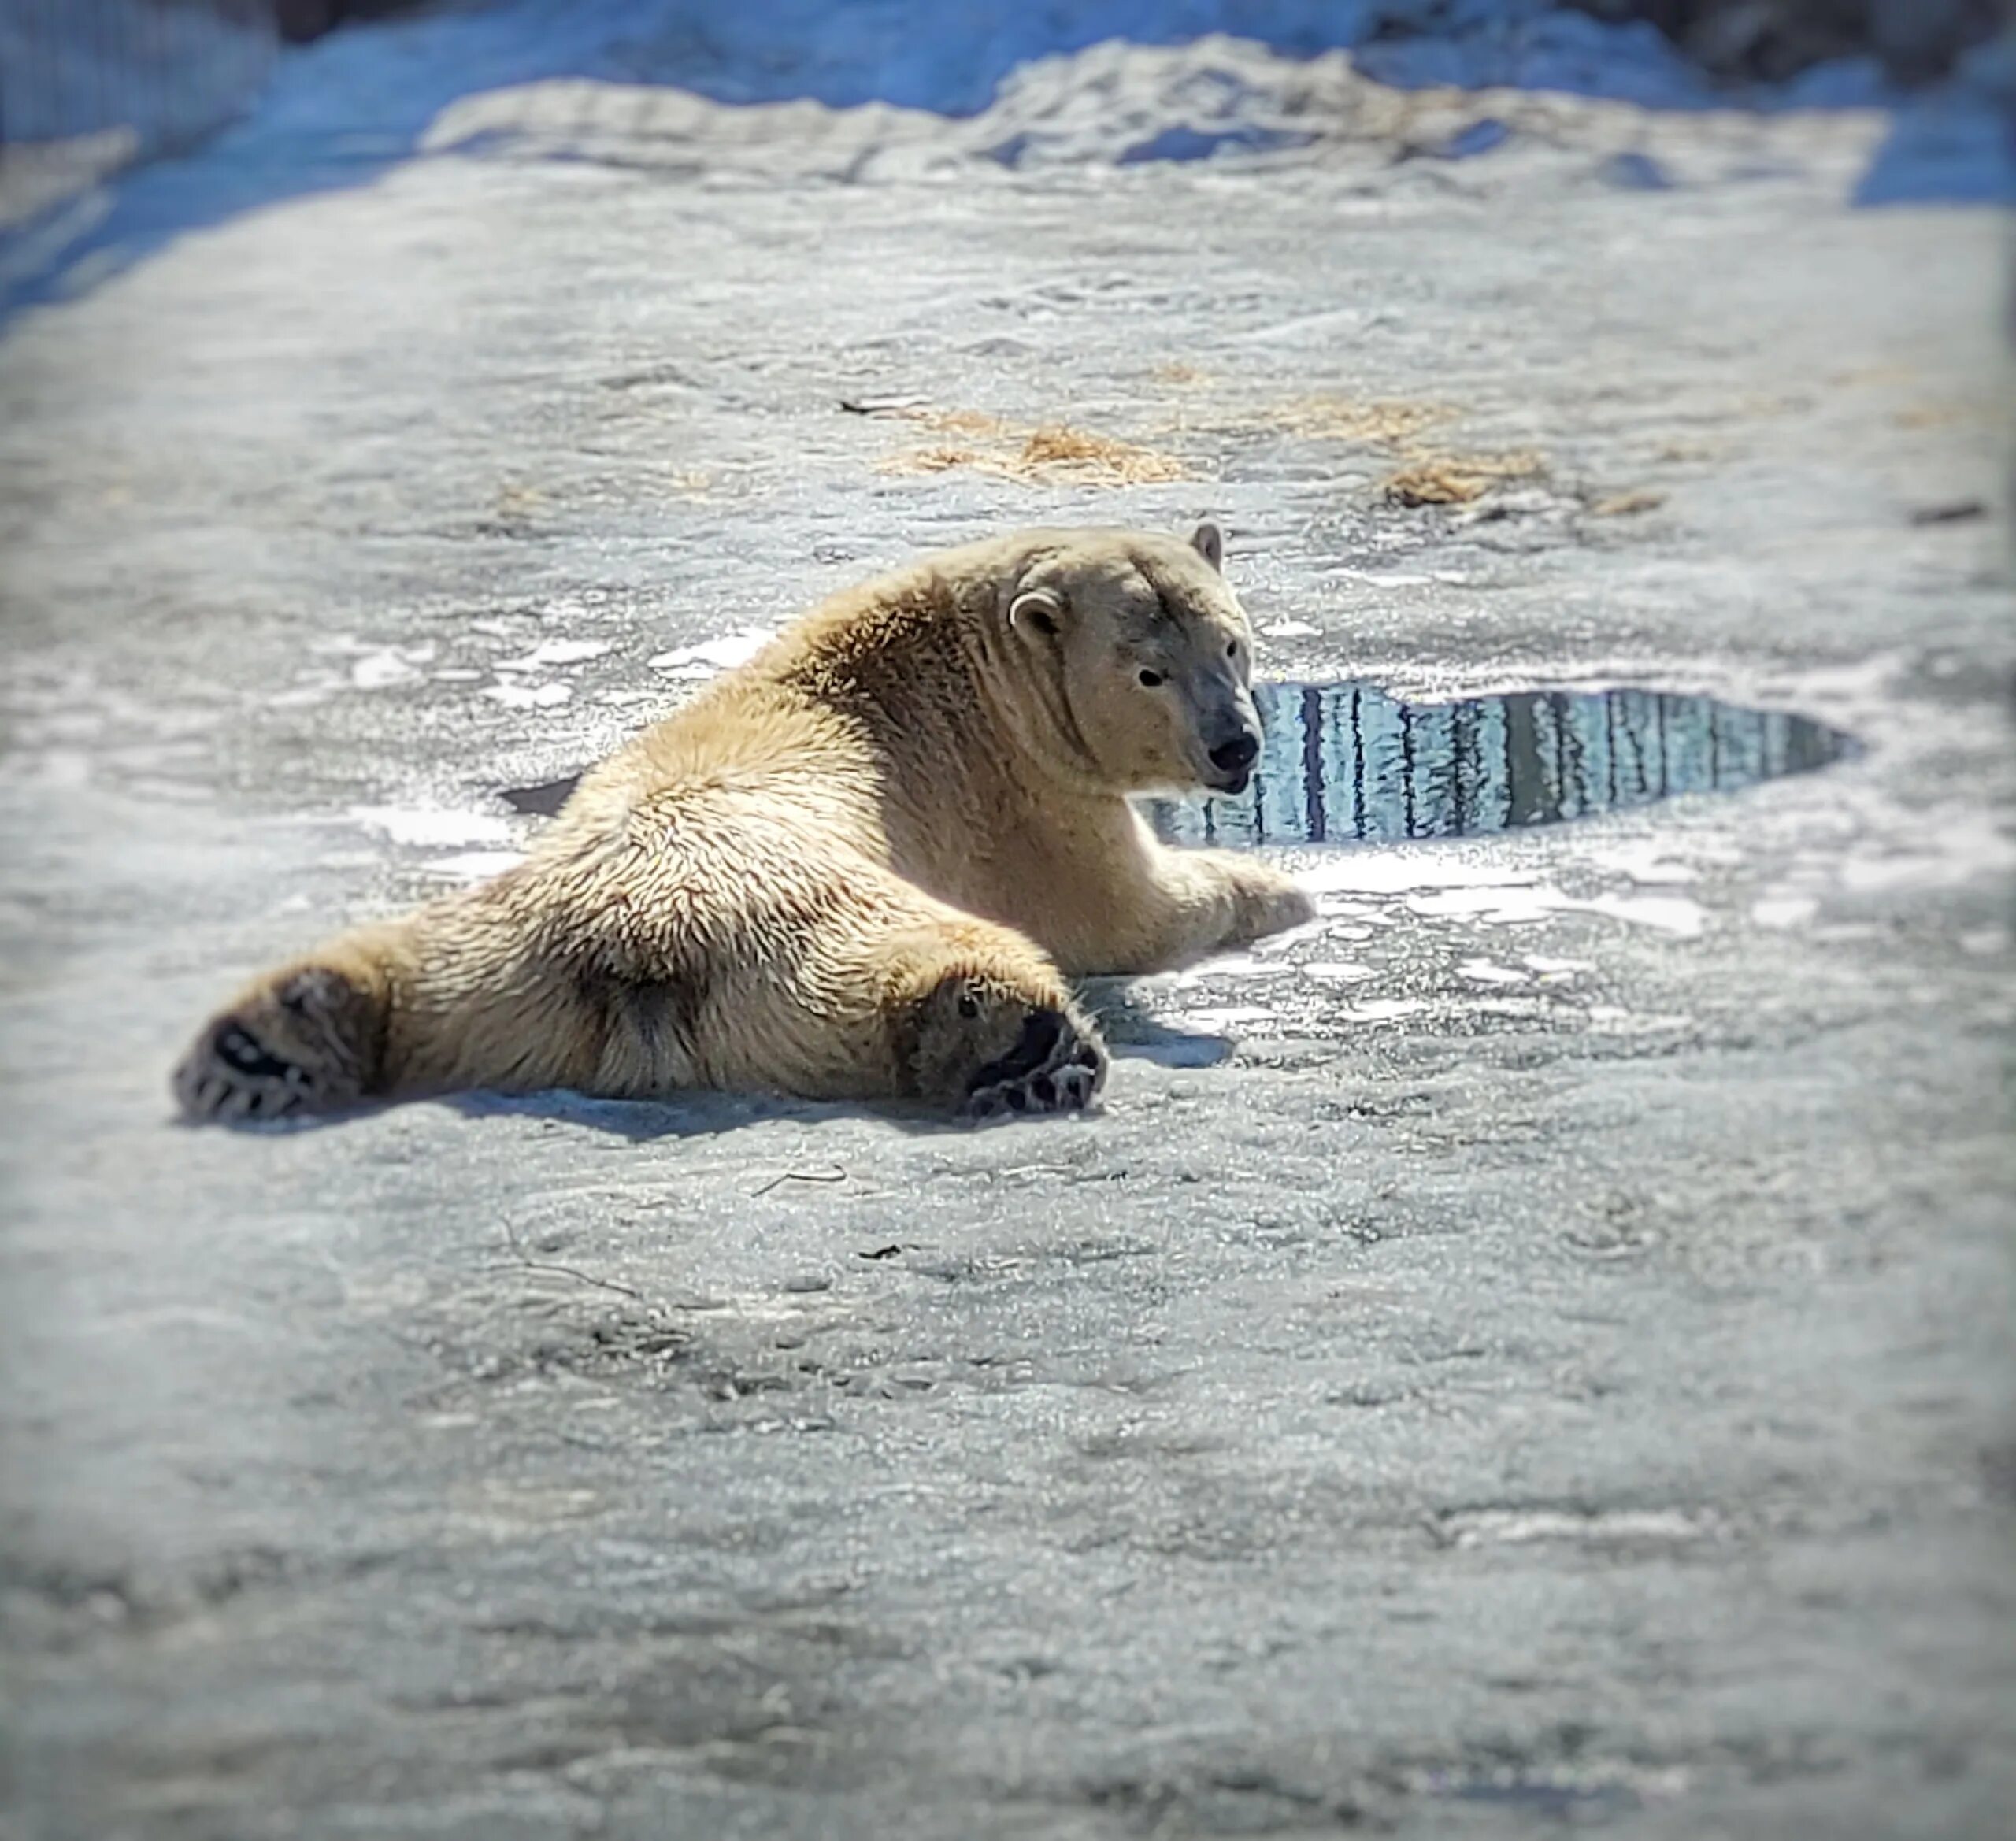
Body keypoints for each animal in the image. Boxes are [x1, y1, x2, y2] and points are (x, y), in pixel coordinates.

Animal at [177, 520, 1322, 1121]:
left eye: (1232, 642)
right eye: (1150, 671)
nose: (1237, 748)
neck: (964, 655)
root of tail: (632, 952)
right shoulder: (1023, 793)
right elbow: (1119, 913)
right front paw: (1286, 890)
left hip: (491, 951)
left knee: (405, 968)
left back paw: (271, 1038)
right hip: (805, 918)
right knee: (919, 959)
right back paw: (1015, 1042)